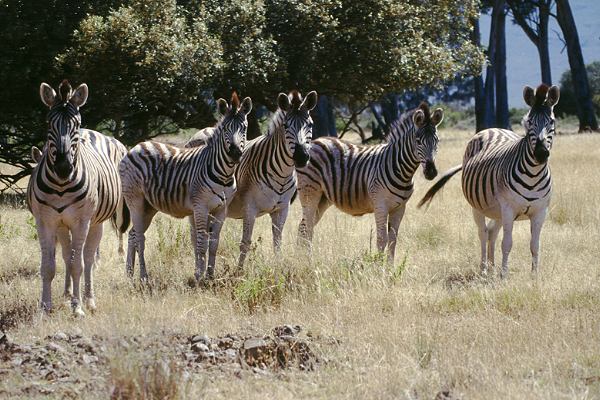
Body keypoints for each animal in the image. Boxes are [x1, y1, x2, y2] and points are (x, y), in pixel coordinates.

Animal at [27, 79, 128, 314]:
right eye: (48, 123)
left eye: (76, 123)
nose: (64, 167)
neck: (61, 185)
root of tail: (91, 132)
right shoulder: (45, 221)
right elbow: (49, 266)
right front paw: (45, 307)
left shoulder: (81, 221)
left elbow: (77, 265)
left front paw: (77, 307)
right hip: (63, 225)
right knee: (67, 255)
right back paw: (67, 294)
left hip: (96, 222)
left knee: (88, 259)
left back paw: (89, 300)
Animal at [120, 94, 252, 282]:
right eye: (226, 129)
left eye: (244, 128)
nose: (235, 153)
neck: (224, 174)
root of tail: (137, 147)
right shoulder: (200, 207)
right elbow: (201, 243)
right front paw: (199, 277)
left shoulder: (222, 209)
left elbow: (214, 243)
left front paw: (210, 276)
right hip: (135, 200)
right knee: (139, 238)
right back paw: (144, 277)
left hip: (149, 206)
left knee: (132, 235)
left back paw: (130, 274)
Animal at [186, 89, 316, 268]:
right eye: (286, 126)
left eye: (310, 125)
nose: (301, 157)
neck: (282, 174)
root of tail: (203, 130)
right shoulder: (250, 208)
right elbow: (245, 242)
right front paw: (239, 272)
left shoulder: (282, 209)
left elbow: (277, 243)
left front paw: (278, 268)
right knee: (195, 237)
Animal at [296, 102, 442, 262]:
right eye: (418, 141)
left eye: (437, 141)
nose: (431, 172)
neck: (402, 170)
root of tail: (316, 141)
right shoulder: (380, 205)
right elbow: (382, 239)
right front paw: (379, 266)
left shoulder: (400, 208)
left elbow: (393, 240)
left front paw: (390, 267)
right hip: (310, 193)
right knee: (306, 229)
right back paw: (306, 262)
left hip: (323, 199)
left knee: (304, 228)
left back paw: (303, 260)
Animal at [420, 84, 560, 278]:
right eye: (529, 122)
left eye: (551, 122)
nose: (540, 154)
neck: (533, 174)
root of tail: (491, 128)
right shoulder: (508, 209)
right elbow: (507, 244)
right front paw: (504, 276)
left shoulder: (540, 211)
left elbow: (535, 245)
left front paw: (534, 277)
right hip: (478, 208)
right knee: (484, 233)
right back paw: (485, 269)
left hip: (497, 210)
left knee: (492, 232)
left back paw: (492, 267)